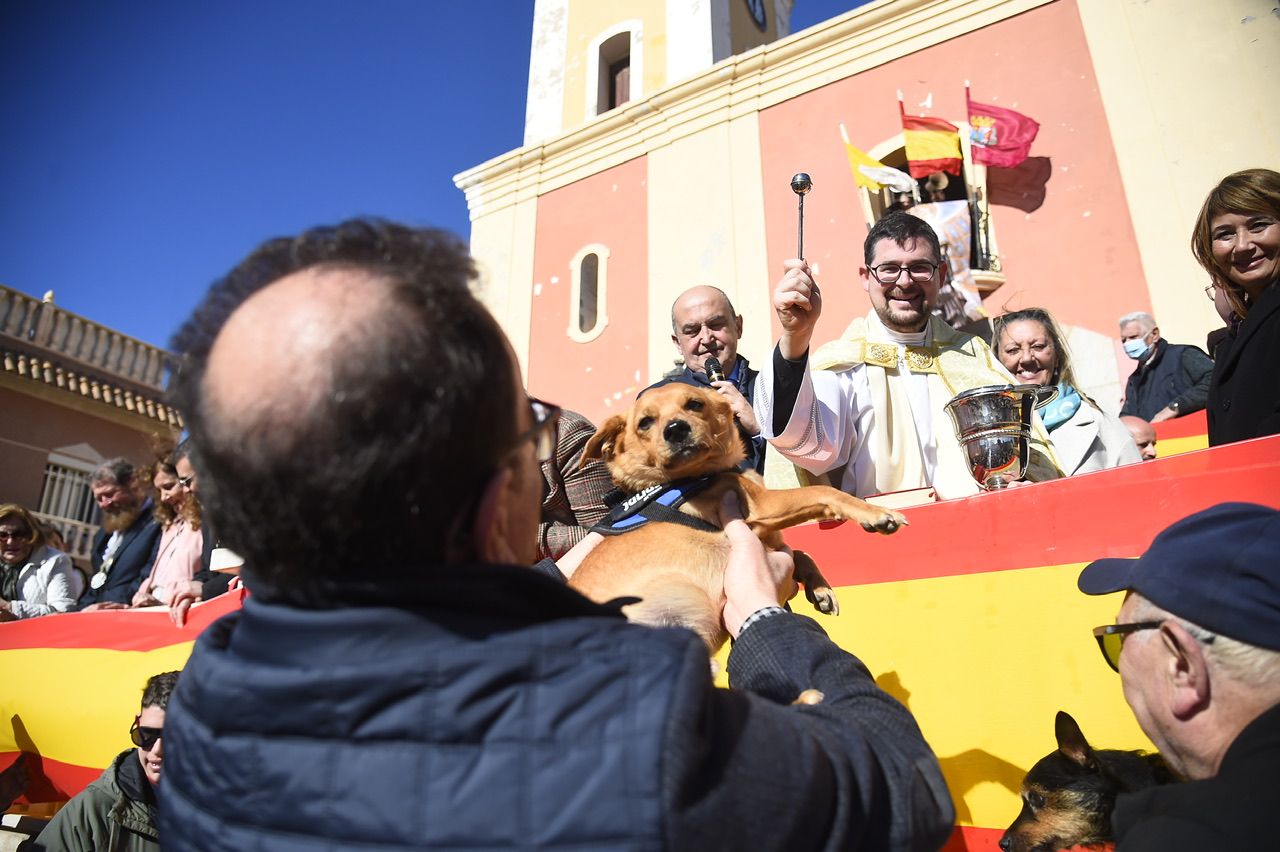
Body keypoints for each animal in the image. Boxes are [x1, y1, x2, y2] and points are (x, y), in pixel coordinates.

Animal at [565, 381, 906, 647]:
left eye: (695, 404)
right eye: (645, 423)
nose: (676, 429)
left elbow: (800, 552)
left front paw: (820, 588)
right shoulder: (762, 508)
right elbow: (824, 492)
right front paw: (875, 512)